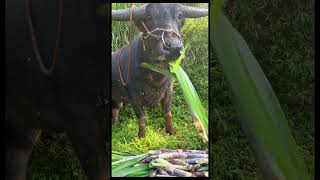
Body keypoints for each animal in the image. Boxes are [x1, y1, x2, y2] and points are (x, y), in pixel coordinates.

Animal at [111, 2, 209, 137]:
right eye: (148, 17)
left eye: (180, 16)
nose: (174, 47)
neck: (155, 78)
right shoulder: (132, 95)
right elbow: (141, 116)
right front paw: (142, 135)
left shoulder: (169, 90)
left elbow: (167, 112)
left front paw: (171, 130)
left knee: (116, 109)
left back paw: (116, 125)